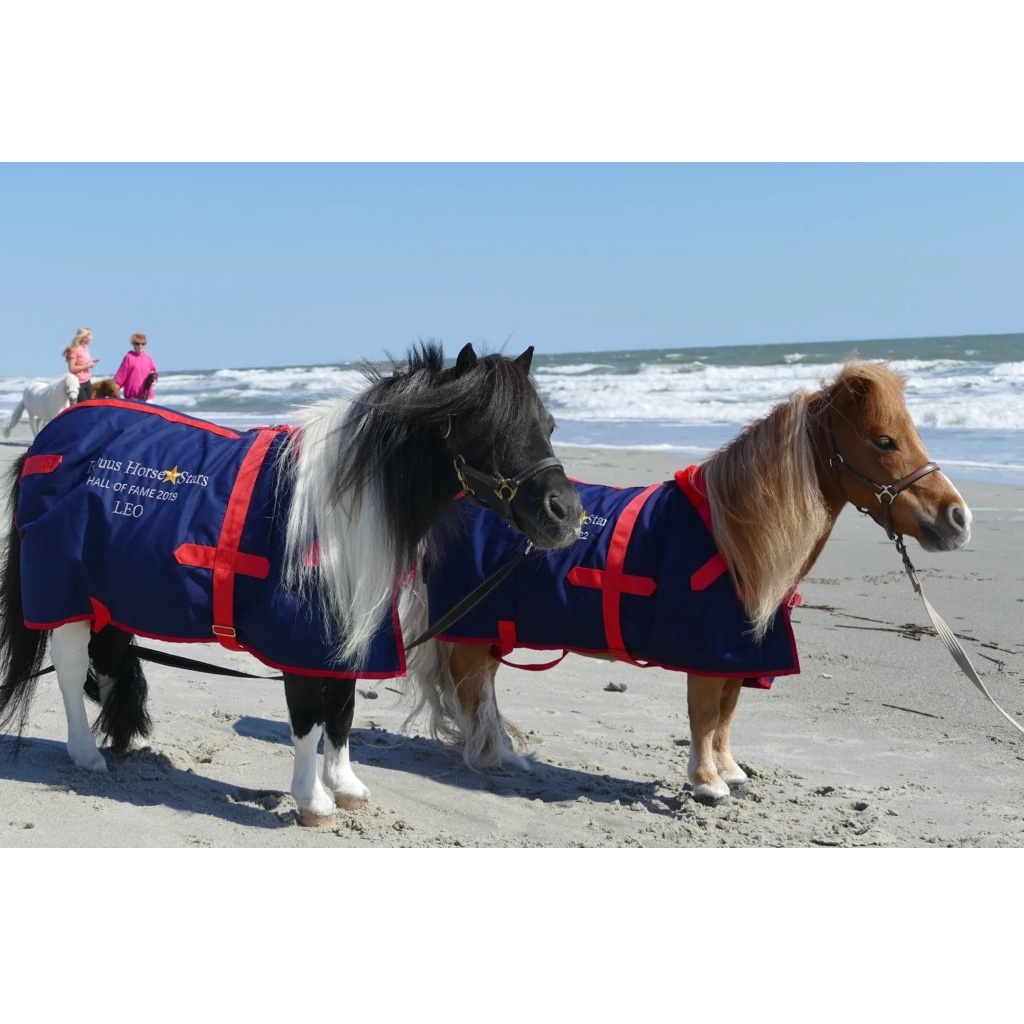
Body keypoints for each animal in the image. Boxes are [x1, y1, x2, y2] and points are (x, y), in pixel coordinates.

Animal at [0, 342, 585, 827]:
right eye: (485, 428)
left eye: (549, 424)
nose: (566, 515)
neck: (344, 508)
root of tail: (50, 440)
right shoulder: (300, 632)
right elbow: (308, 717)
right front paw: (312, 801)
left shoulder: (349, 631)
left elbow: (342, 711)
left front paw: (345, 787)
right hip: (66, 591)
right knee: (71, 669)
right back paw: (85, 754)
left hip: (113, 593)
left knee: (110, 661)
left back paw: (119, 743)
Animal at [402, 361, 973, 804]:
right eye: (884, 441)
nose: (958, 518)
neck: (729, 536)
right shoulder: (708, 654)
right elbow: (703, 714)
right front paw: (706, 783)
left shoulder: (738, 658)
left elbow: (726, 715)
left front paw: (729, 771)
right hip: (472, 632)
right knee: (472, 691)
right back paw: (490, 755)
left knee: (482, 689)